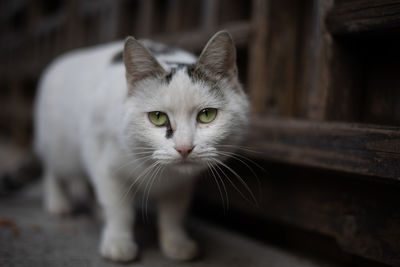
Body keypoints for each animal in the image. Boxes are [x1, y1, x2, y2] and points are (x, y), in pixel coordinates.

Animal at [33, 30, 250, 262]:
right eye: (157, 117)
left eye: (207, 114)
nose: (184, 148)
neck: (164, 173)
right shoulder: (104, 163)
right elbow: (119, 209)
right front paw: (118, 243)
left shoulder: (181, 183)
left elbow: (173, 213)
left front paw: (176, 242)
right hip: (60, 150)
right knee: (52, 170)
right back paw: (58, 203)